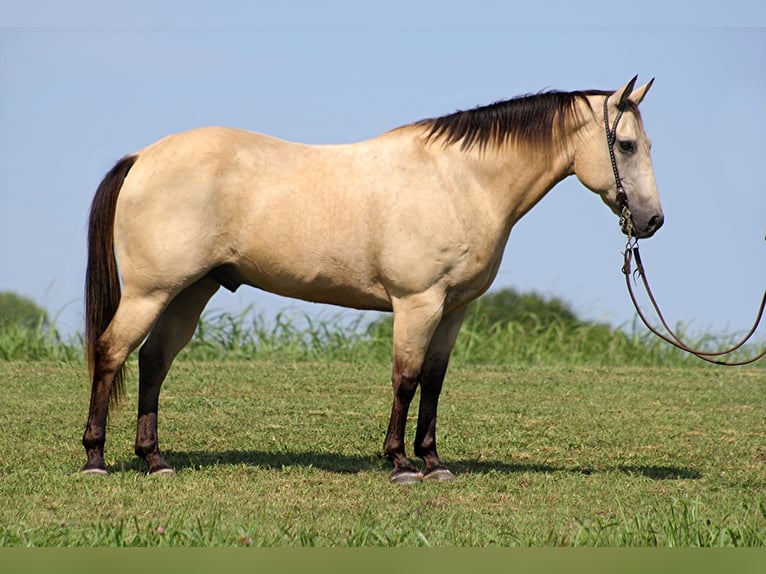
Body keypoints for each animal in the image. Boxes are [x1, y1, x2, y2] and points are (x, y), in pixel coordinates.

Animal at [81, 74, 664, 484]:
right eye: (627, 145)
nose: (653, 220)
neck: (459, 181)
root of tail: (143, 158)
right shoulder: (417, 303)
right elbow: (405, 378)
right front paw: (401, 463)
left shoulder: (453, 310)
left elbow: (433, 381)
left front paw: (434, 462)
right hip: (151, 292)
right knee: (111, 352)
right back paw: (95, 458)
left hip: (189, 292)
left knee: (154, 361)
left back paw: (154, 459)